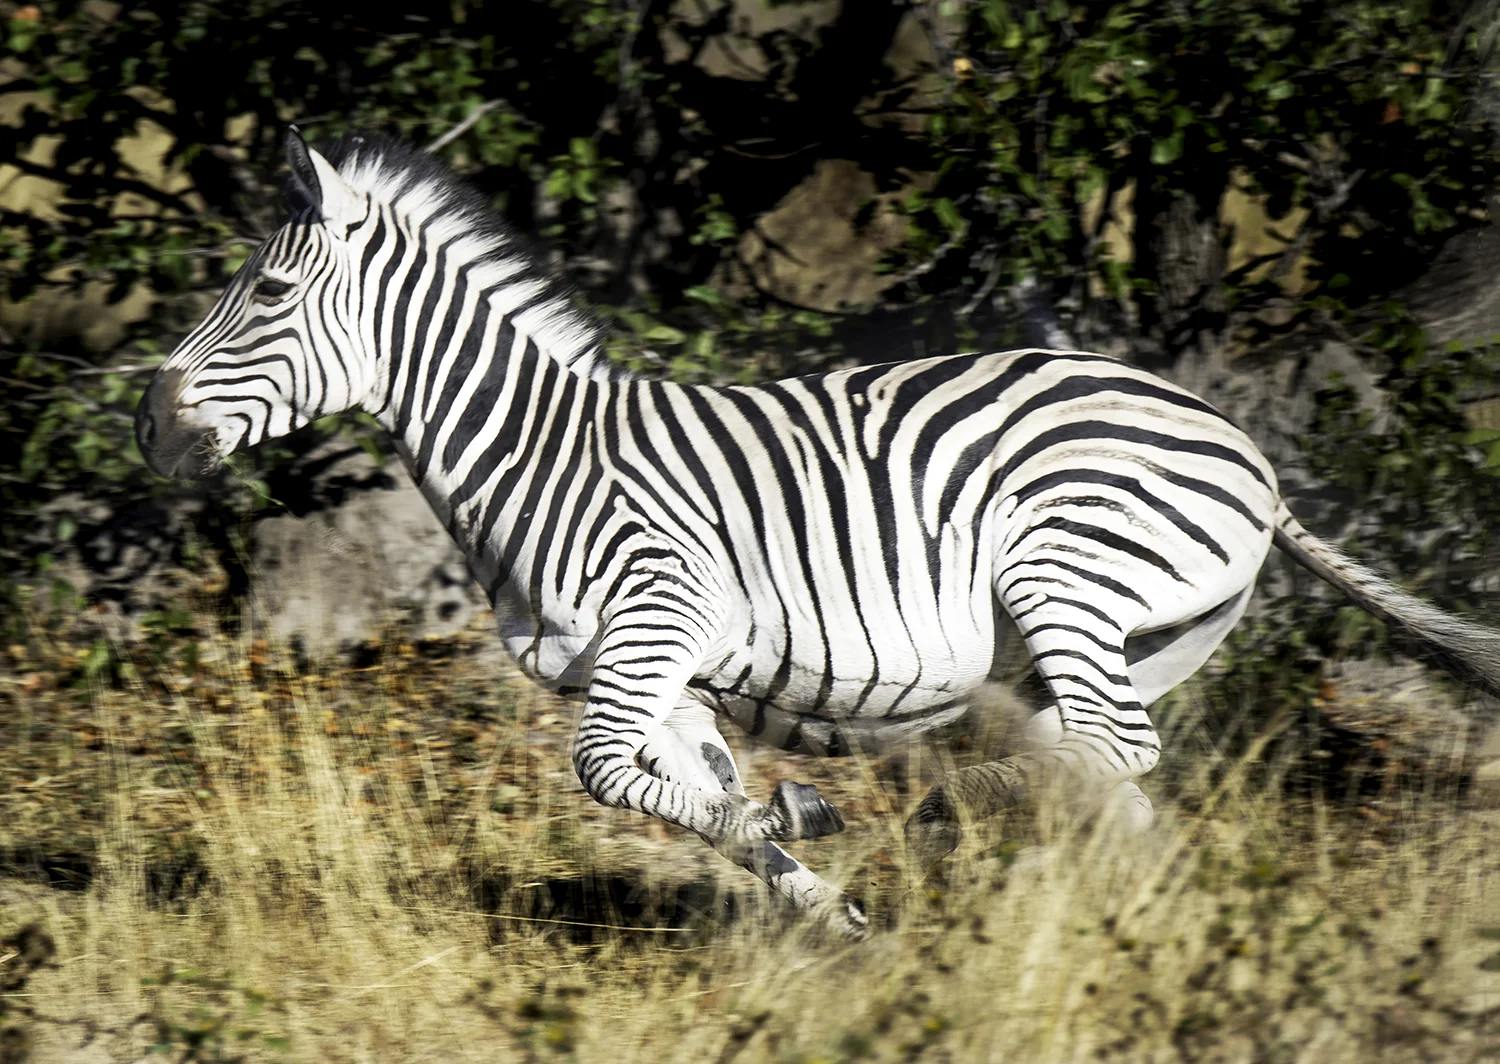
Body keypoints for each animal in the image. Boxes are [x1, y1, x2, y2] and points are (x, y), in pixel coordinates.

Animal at [135, 129, 1500, 939]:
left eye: (267, 291)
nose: (148, 422)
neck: (541, 455)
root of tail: (1250, 455)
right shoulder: (657, 671)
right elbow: (690, 794)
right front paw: (833, 920)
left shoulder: (660, 611)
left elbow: (616, 777)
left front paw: (810, 830)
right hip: (1137, 632)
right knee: (1103, 767)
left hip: (1063, 569)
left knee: (1110, 749)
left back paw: (949, 827)